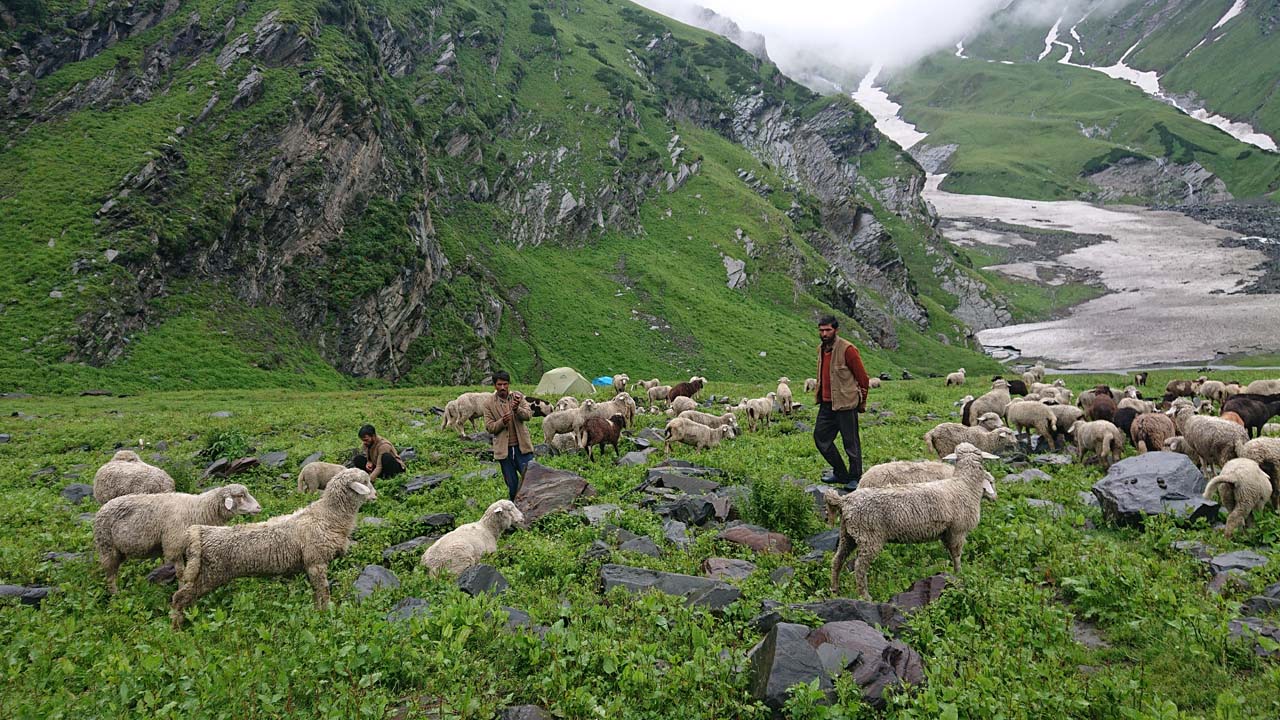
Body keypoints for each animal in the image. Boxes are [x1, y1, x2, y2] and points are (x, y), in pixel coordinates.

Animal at [92, 481, 259, 594]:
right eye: (240, 496)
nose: (259, 507)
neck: (198, 510)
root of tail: (101, 509)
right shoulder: (174, 546)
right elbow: (180, 573)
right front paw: (180, 590)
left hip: (119, 551)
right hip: (106, 547)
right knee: (110, 576)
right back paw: (116, 596)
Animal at [168, 468, 373, 625]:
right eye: (366, 482)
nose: (376, 494)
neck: (327, 516)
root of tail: (200, 533)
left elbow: (317, 593)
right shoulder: (316, 561)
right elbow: (323, 591)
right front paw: (325, 613)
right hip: (208, 574)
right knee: (179, 598)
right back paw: (176, 628)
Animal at [829, 440, 998, 597]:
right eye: (991, 482)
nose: (995, 497)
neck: (964, 485)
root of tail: (845, 501)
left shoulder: (947, 533)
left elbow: (950, 553)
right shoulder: (958, 531)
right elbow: (956, 556)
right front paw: (959, 575)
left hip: (848, 534)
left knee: (838, 559)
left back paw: (835, 589)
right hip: (869, 537)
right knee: (859, 567)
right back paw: (865, 596)